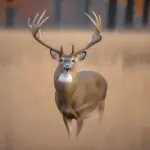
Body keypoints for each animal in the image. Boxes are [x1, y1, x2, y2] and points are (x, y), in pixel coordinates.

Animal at [27, 9, 108, 138]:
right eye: (61, 60)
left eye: (73, 60)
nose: (67, 67)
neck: (69, 100)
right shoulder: (64, 115)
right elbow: (70, 136)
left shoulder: (81, 114)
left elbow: (76, 136)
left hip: (101, 105)